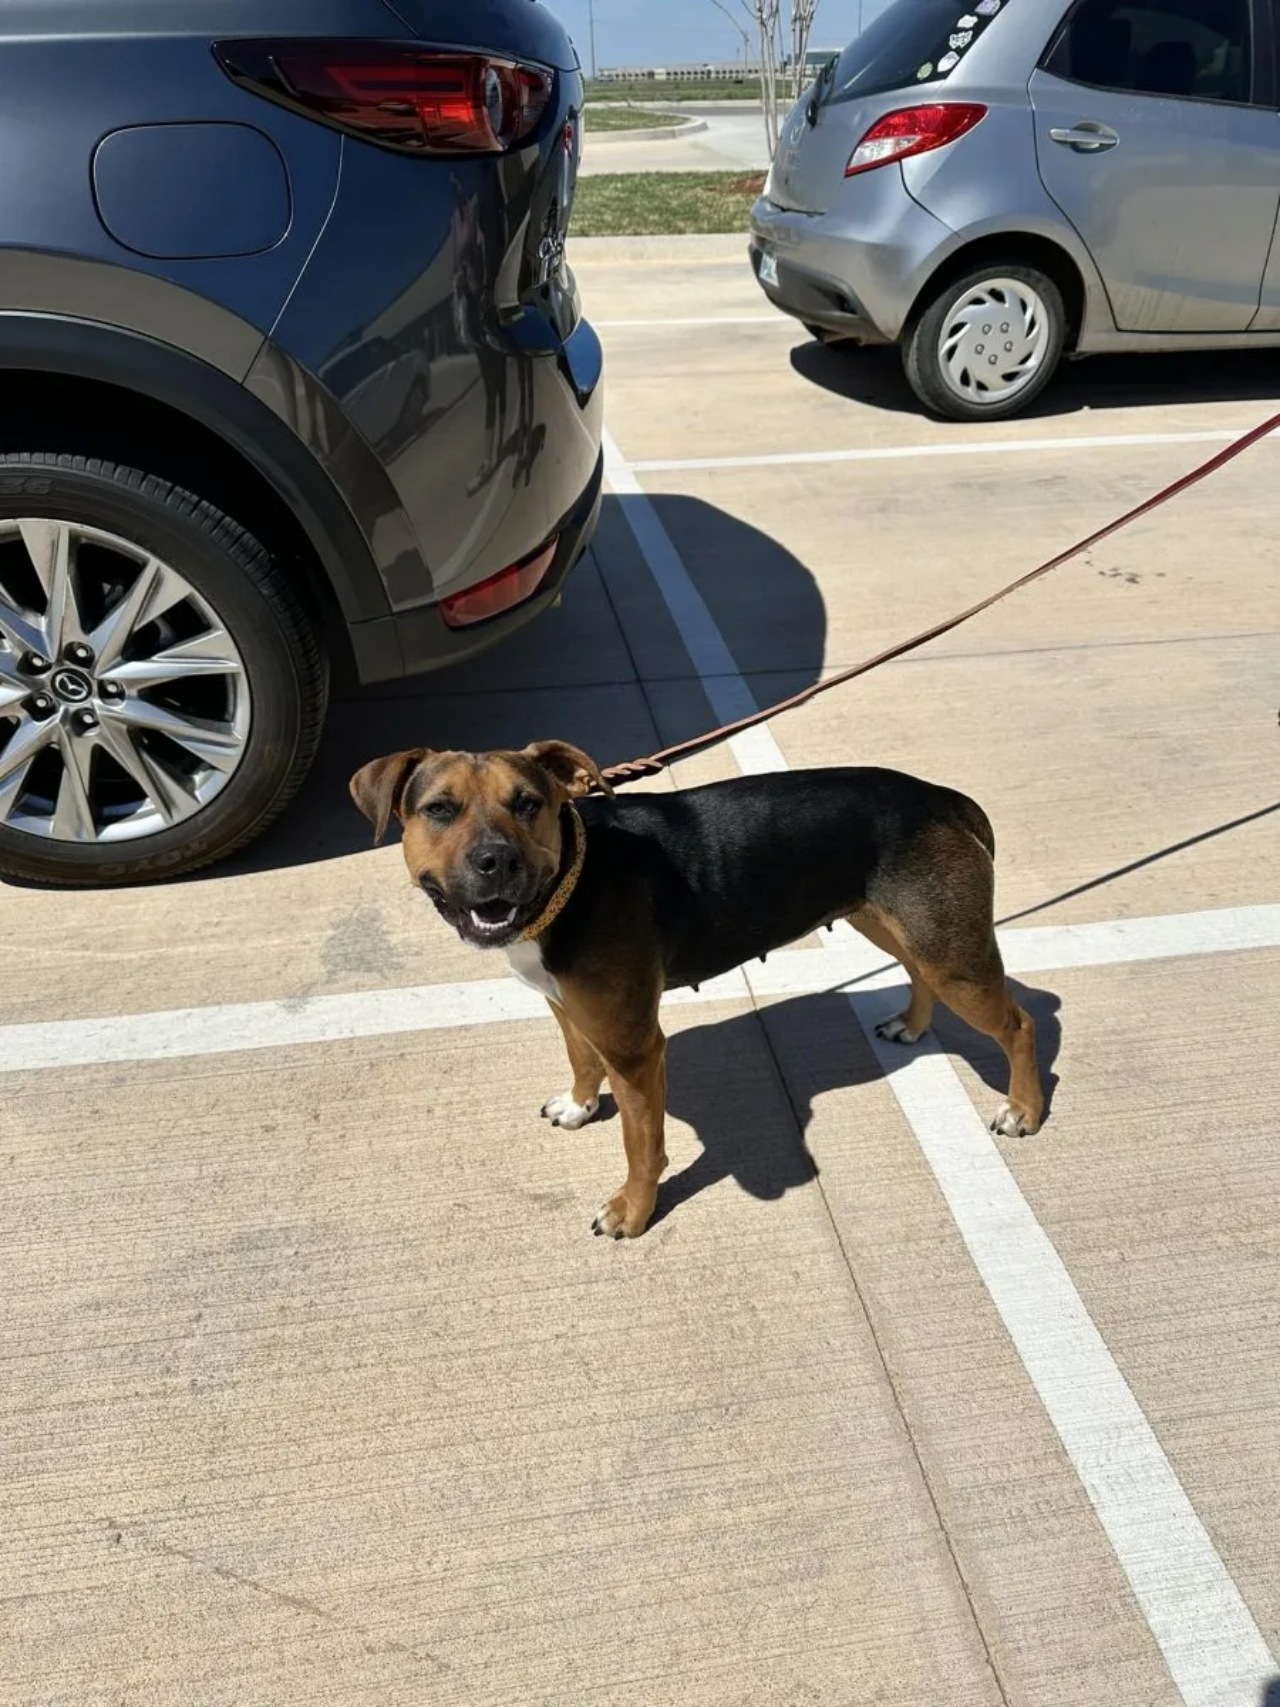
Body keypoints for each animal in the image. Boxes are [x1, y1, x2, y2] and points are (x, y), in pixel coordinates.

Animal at [348, 747, 1044, 1242]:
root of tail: (944, 798)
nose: (497, 862)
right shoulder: (567, 1006)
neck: (571, 877)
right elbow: (579, 1058)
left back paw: (1024, 1110)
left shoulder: (634, 1049)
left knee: (1019, 1024)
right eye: (439, 810)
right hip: (892, 924)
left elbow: (641, 1145)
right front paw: (580, 1105)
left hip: (950, 955)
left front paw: (632, 1212)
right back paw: (914, 1024)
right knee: (920, 972)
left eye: (528, 804)